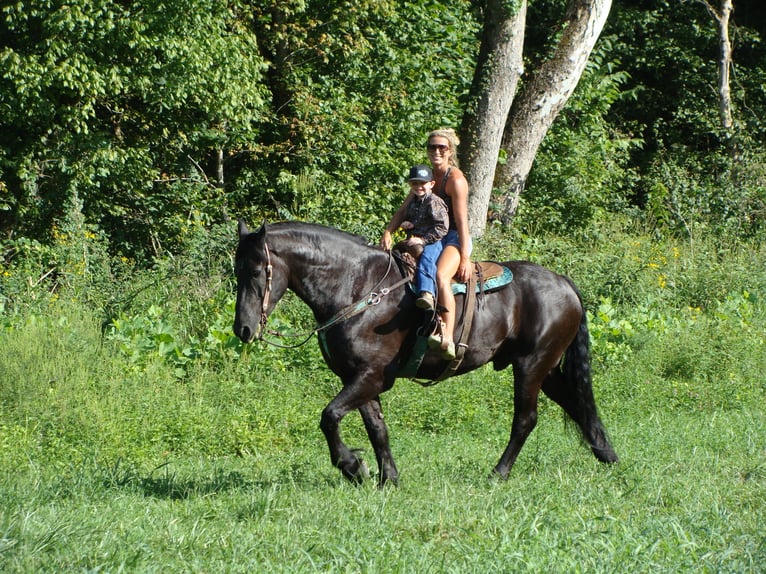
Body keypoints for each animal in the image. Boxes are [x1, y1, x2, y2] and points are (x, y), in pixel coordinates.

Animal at [234, 220, 616, 486]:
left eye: (256, 270)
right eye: (236, 271)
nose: (243, 329)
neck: (358, 287)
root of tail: (564, 283)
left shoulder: (371, 376)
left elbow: (329, 417)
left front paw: (352, 467)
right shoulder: (359, 377)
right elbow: (377, 428)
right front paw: (386, 477)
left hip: (531, 365)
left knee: (526, 419)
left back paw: (498, 473)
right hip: (546, 368)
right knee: (577, 403)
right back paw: (607, 455)